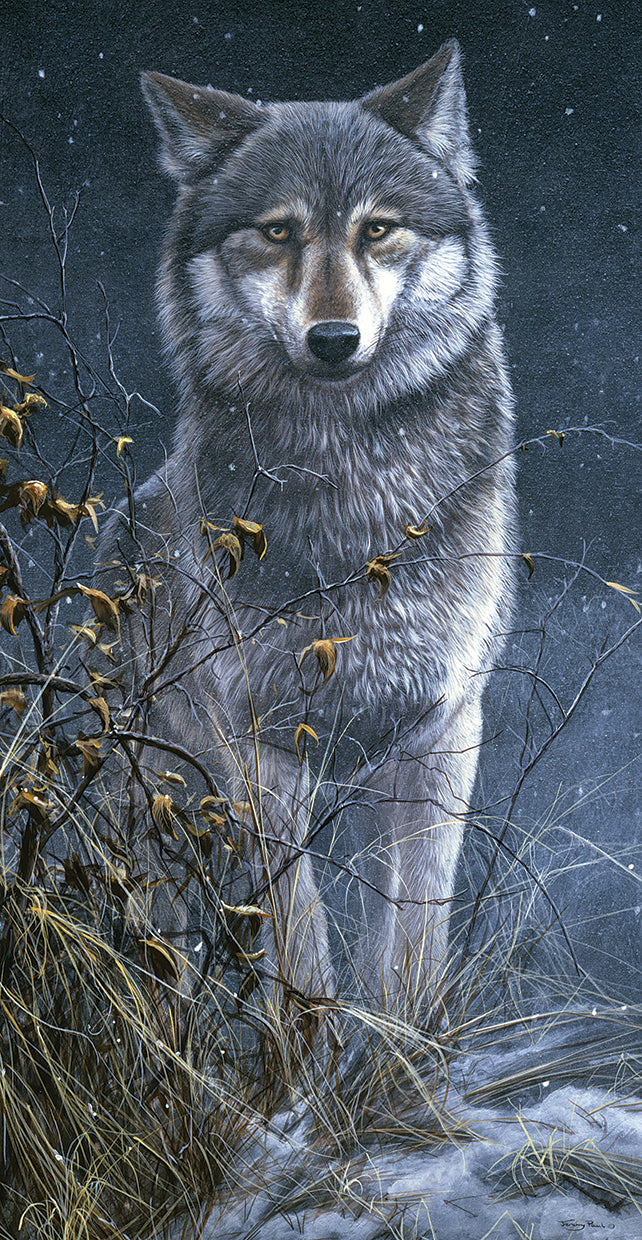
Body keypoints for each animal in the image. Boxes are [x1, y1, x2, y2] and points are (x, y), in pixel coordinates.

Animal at [100, 40, 516, 1019]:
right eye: (280, 232)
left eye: (377, 230)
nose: (334, 339)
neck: (353, 498)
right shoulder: (261, 749)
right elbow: (302, 947)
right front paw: (306, 1060)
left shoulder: (443, 732)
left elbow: (411, 948)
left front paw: (405, 1060)